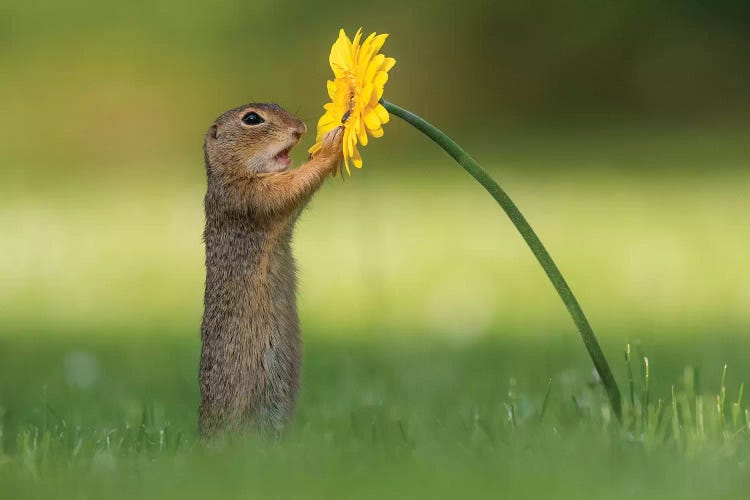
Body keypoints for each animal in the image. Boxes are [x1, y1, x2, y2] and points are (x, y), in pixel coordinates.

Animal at [197, 102, 344, 438]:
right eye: (252, 119)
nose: (301, 128)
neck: (231, 174)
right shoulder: (251, 197)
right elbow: (294, 185)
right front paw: (332, 144)